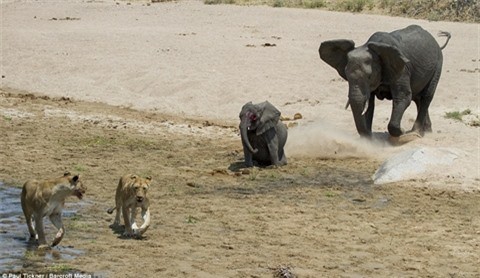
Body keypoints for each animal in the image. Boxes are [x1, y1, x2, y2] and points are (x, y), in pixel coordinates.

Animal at [318, 25, 450, 138]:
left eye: (369, 76)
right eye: (346, 77)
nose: (369, 134)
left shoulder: (402, 69)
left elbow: (403, 97)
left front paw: (402, 132)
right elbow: (370, 104)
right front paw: (368, 138)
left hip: (438, 64)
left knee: (426, 96)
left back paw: (415, 133)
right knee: (418, 98)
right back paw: (426, 131)